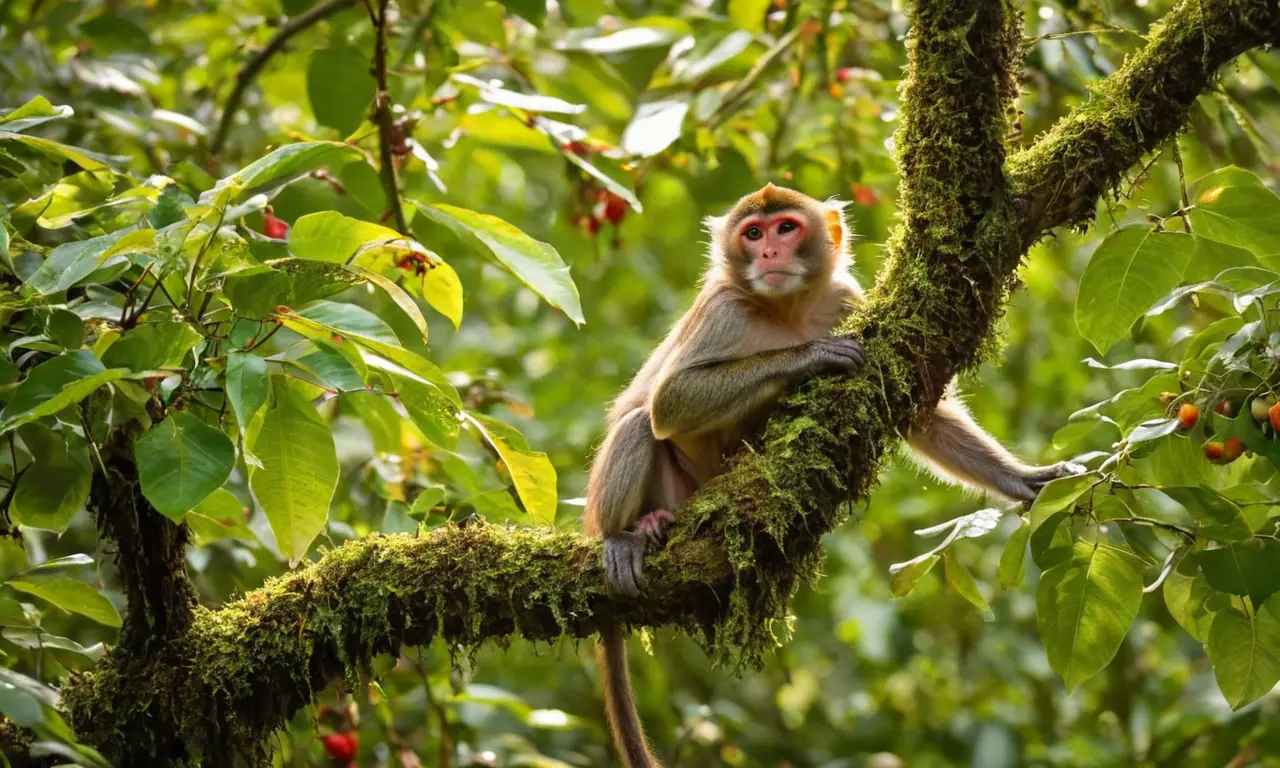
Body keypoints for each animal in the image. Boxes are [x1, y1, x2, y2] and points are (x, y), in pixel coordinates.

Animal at [583, 183, 1084, 768]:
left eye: (785, 228)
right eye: (752, 233)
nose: (768, 253)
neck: (788, 310)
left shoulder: (847, 301)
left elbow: (918, 408)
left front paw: (1021, 479)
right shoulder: (723, 309)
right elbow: (670, 402)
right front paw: (809, 356)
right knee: (640, 423)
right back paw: (626, 534)